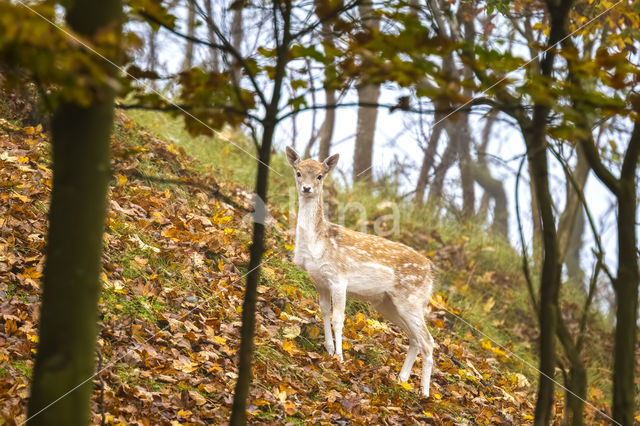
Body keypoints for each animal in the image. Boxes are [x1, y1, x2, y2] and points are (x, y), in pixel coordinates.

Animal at [288, 146, 438, 396]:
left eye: (320, 176)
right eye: (298, 172)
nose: (306, 188)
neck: (318, 242)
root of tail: (431, 274)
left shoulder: (339, 277)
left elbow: (339, 318)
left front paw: (339, 357)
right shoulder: (319, 280)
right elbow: (324, 311)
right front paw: (329, 349)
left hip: (412, 300)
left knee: (428, 341)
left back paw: (424, 393)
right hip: (388, 303)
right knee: (415, 339)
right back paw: (401, 380)